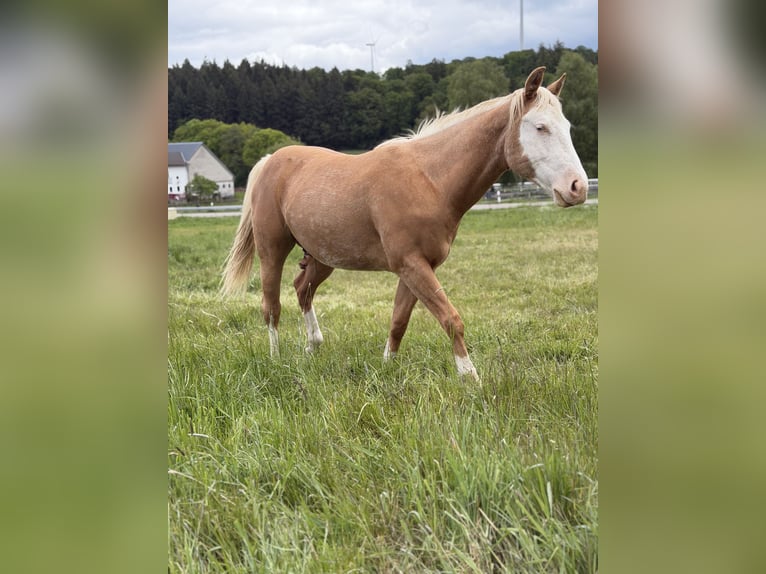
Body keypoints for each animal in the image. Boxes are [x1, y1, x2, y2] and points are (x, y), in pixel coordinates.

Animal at [221, 66, 588, 381]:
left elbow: (399, 320)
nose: (578, 187)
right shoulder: (411, 265)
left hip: (323, 256)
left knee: (302, 289)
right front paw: (470, 378)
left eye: (568, 127)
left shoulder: (418, 267)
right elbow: (451, 319)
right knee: (271, 306)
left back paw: (313, 346)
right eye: (540, 127)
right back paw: (276, 360)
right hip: (272, 251)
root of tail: (271, 160)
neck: (429, 180)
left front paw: (388, 369)